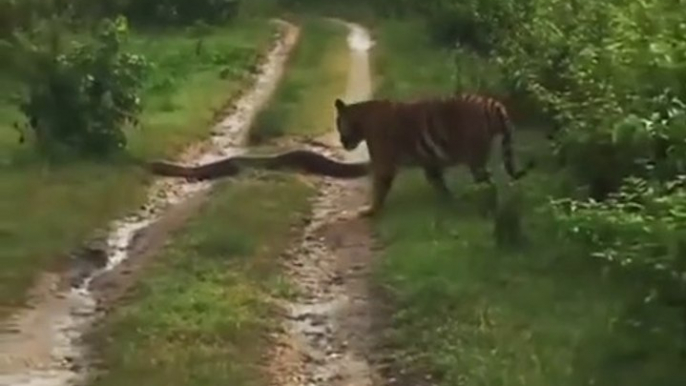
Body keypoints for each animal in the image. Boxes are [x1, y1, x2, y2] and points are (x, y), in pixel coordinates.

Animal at [336, 93, 536, 217]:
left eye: (338, 125)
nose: (341, 142)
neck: (361, 120)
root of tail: (491, 102)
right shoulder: (430, 163)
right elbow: (438, 183)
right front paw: (449, 203)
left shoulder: (384, 164)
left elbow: (378, 190)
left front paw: (370, 211)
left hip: (475, 160)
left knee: (489, 183)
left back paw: (488, 208)